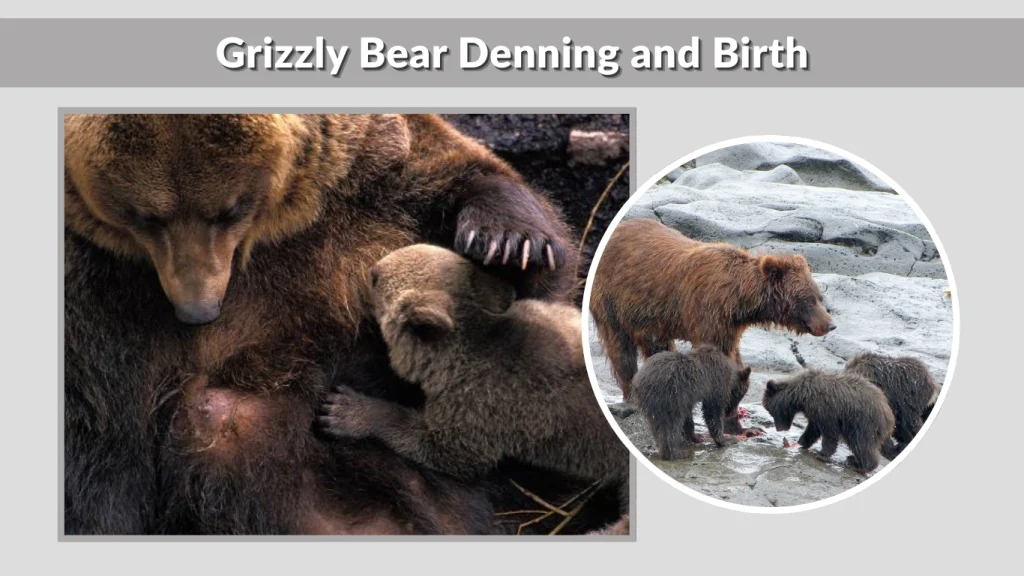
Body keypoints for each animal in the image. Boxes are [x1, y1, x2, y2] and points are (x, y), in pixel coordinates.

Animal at [589, 217, 835, 436]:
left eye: (819, 296)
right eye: (809, 299)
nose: (830, 325)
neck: (739, 300)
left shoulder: (729, 326)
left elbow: (736, 370)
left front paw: (745, 427)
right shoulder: (708, 312)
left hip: (651, 317)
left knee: (656, 346)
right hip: (613, 301)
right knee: (620, 348)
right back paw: (632, 395)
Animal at [761, 369, 896, 474]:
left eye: (770, 410)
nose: (779, 428)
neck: (802, 395)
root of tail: (888, 415)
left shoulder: (826, 409)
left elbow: (830, 432)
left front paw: (822, 454)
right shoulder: (815, 412)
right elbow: (813, 429)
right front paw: (801, 442)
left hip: (861, 422)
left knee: (861, 443)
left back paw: (859, 465)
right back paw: (853, 459)